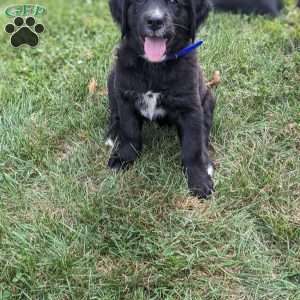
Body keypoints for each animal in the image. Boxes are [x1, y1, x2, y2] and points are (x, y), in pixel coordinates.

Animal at [106, 0, 214, 199]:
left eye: (174, 2)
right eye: (139, 2)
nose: (155, 21)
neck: (154, 66)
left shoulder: (190, 107)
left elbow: (192, 146)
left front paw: (198, 179)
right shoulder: (125, 97)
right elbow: (129, 132)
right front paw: (123, 158)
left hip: (208, 97)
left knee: (204, 131)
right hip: (112, 79)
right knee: (115, 116)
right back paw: (113, 134)